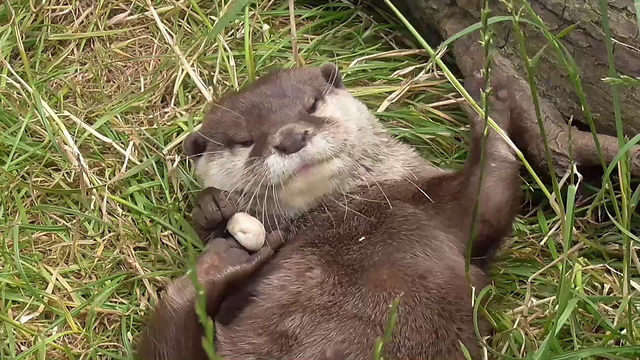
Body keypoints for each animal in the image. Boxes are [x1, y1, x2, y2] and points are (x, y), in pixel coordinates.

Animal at [134, 63, 520, 358]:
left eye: (312, 105)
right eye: (244, 140)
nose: (290, 137)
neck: (349, 212)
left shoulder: (431, 204)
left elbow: (490, 194)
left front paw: (489, 101)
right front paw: (212, 208)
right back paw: (217, 265)